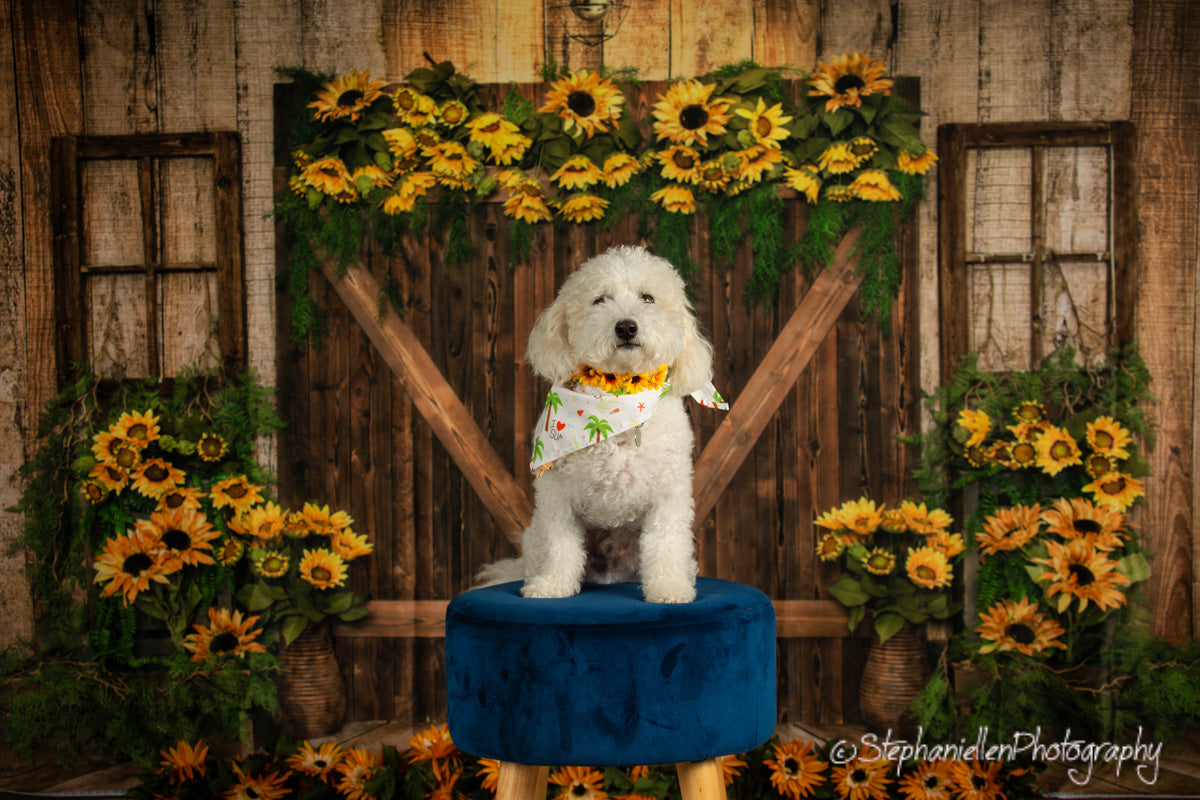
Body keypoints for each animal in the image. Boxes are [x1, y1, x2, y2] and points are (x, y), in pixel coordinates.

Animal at [475, 244, 720, 599]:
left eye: (648, 297)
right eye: (600, 299)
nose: (626, 327)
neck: (617, 400)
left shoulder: (669, 495)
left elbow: (665, 544)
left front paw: (668, 587)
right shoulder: (556, 496)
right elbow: (560, 546)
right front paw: (553, 585)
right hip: (535, 535)